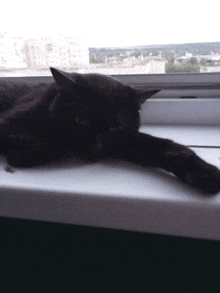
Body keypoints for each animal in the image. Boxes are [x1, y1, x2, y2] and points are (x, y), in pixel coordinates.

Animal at [0, 67, 219, 193]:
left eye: (114, 127)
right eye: (81, 121)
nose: (94, 147)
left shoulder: (124, 138)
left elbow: (163, 146)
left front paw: (205, 173)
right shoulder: (10, 124)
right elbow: (62, 144)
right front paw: (20, 155)